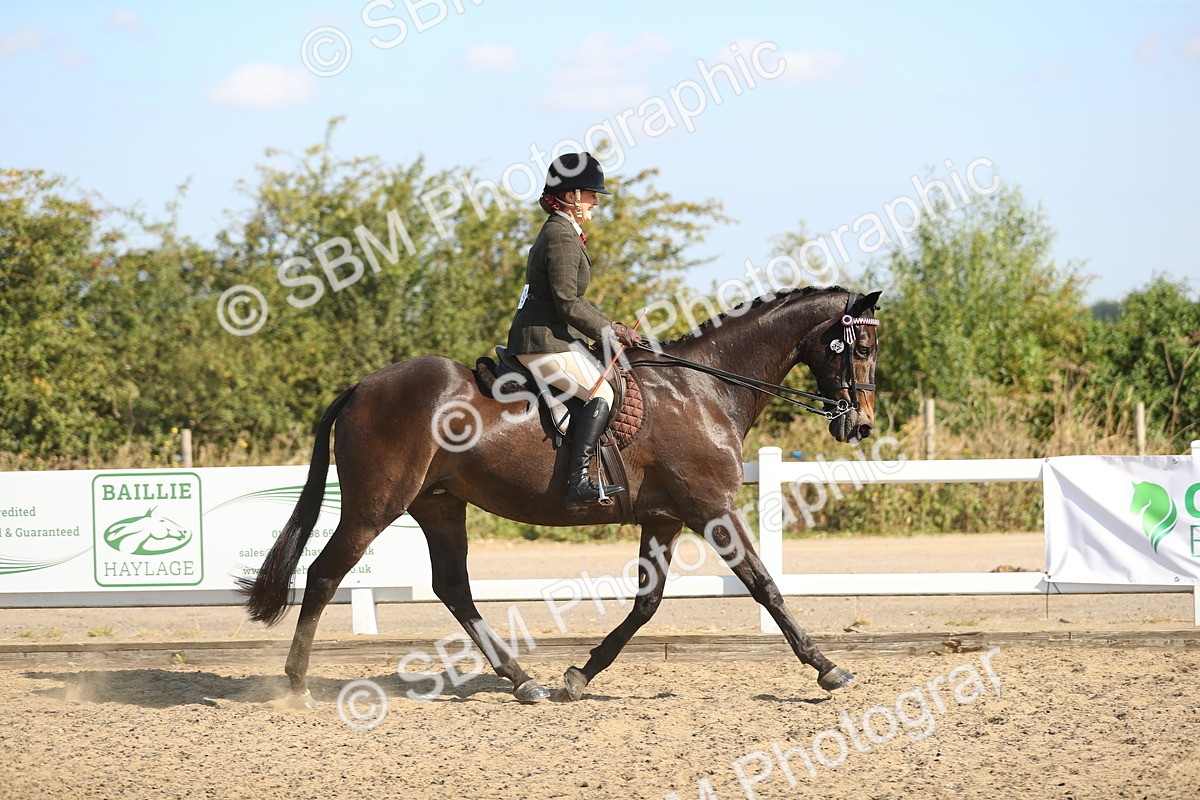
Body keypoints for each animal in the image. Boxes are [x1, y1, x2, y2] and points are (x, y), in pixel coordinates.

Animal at [239, 285, 882, 705]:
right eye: (860, 348)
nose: (860, 425)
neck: (703, 389)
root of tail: (360, 387)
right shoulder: (711, 509)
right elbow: (765, 586)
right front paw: (828, 669)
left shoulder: (665, 518)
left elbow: (646, 604)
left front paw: (580, 675)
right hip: (376, 507)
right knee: (325, 574)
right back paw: (296, 686)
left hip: (440, 504)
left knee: (452, 588)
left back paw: (525, 682)